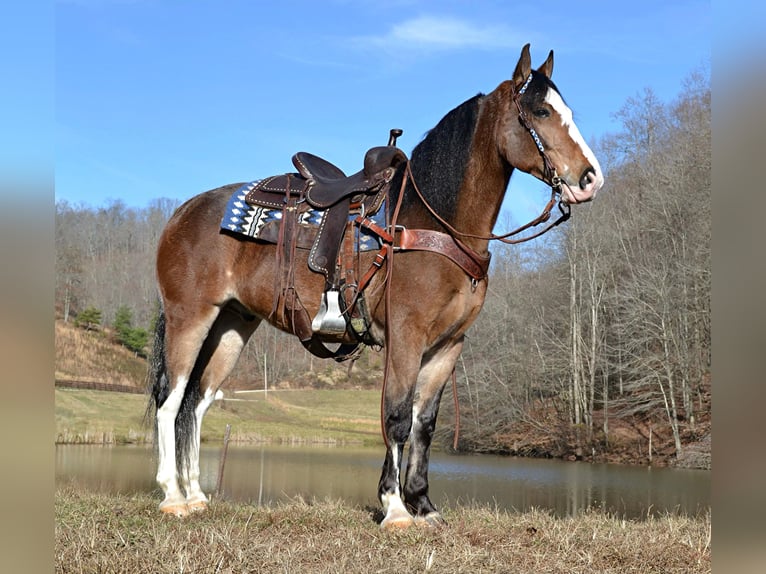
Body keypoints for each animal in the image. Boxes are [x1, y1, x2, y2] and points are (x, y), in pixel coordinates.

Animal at [148, 44, 608, 532]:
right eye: (540, 111)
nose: (590, 178)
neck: (435, 224)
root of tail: (183, 212)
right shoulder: (406, 337)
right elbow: (397, 417)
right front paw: (395, 507)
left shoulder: (448, 346)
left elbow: (425, 424)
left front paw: (423, 504)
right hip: (190, 317)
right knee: (170, 402)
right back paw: (173, 497)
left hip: (233, 325)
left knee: (197, 404)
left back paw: (197, 496)